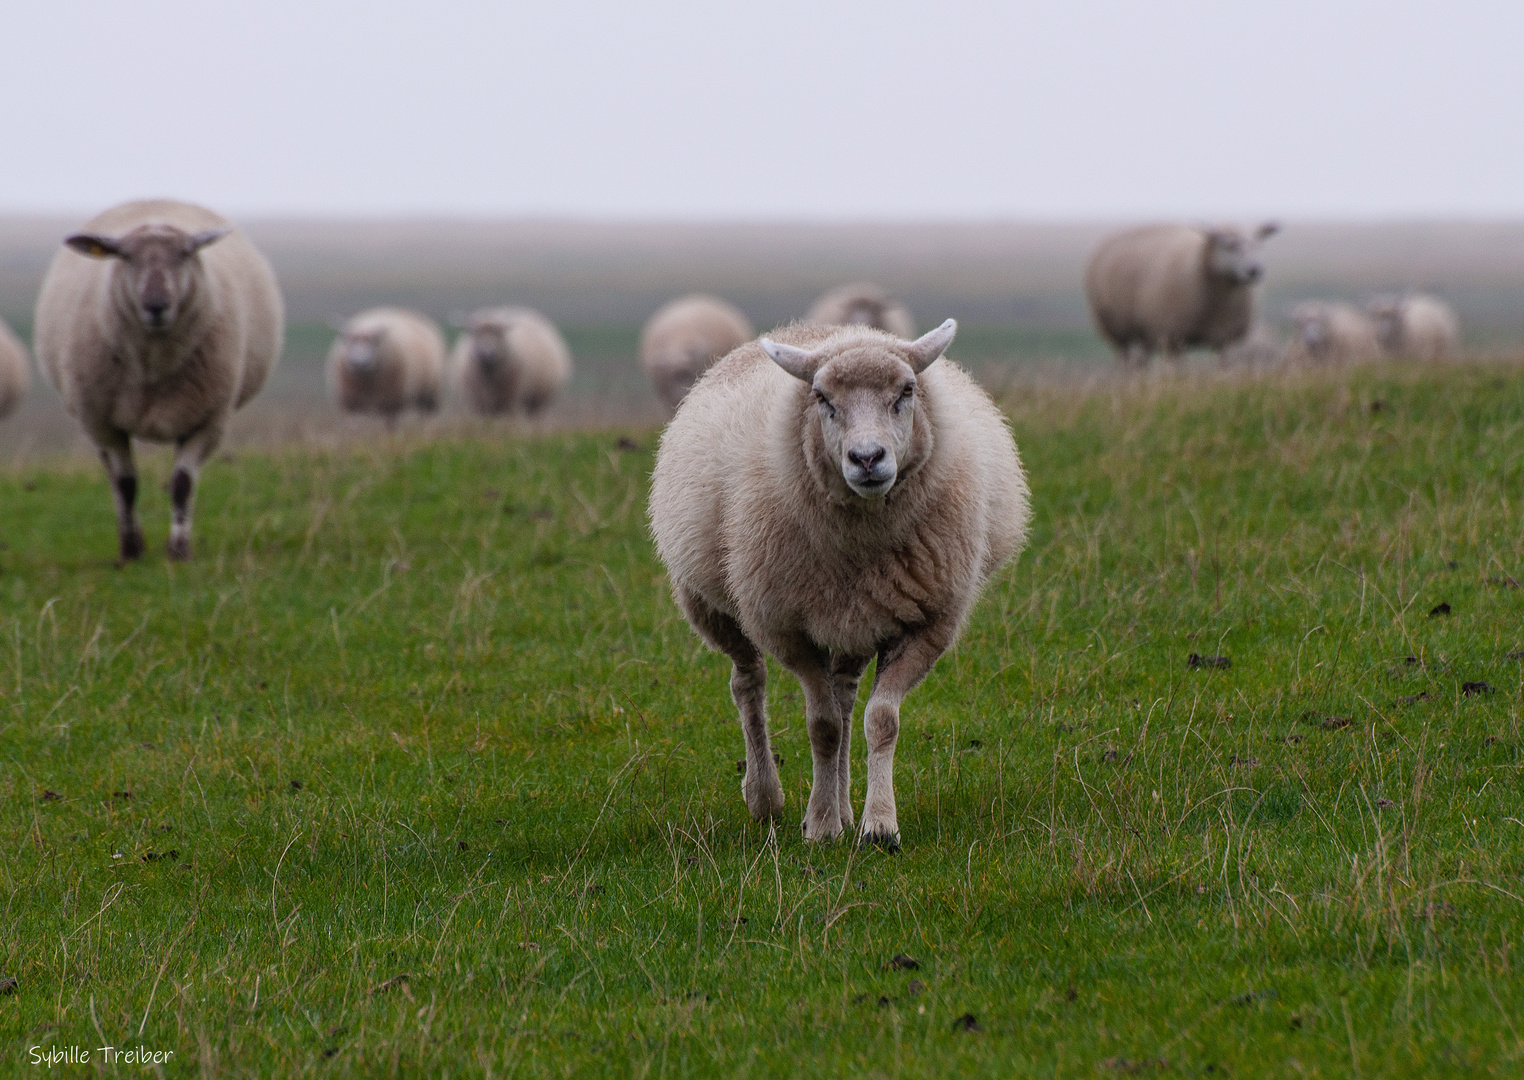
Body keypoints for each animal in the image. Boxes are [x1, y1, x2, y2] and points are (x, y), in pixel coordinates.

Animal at [32, 196, 283, 560]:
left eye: (185, 254)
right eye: (124, 256)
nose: (156, 305)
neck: (153, 365)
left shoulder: (209, 420)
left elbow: (182, 484)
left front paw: (179, 550)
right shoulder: (103, 423)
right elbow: (126, 484)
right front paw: (131, 550)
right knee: (111, 474)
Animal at [649, 315, 1030, 846]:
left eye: (907, 390)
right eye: (822, 398)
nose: (867, 458)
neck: (862, 537)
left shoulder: (926, 623)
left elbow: (880, 720)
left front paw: (878, 824)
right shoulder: (790, 630)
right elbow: (823, 726)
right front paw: (823, 825)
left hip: (858, 617)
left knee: (846, 697)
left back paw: (846, 805)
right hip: (714, 604)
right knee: (748, 681)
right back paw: (766, 797)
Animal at [1078, 223, 1280, 367]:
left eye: (1257, 245)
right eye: (1229, 246)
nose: (1254, 270)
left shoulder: (1222, 338)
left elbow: (1222, 366)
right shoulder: (1171, 336)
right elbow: (1177, 372)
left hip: (1146, 332)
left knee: (1141, 361)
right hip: (1115, 329)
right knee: (1124, 358)